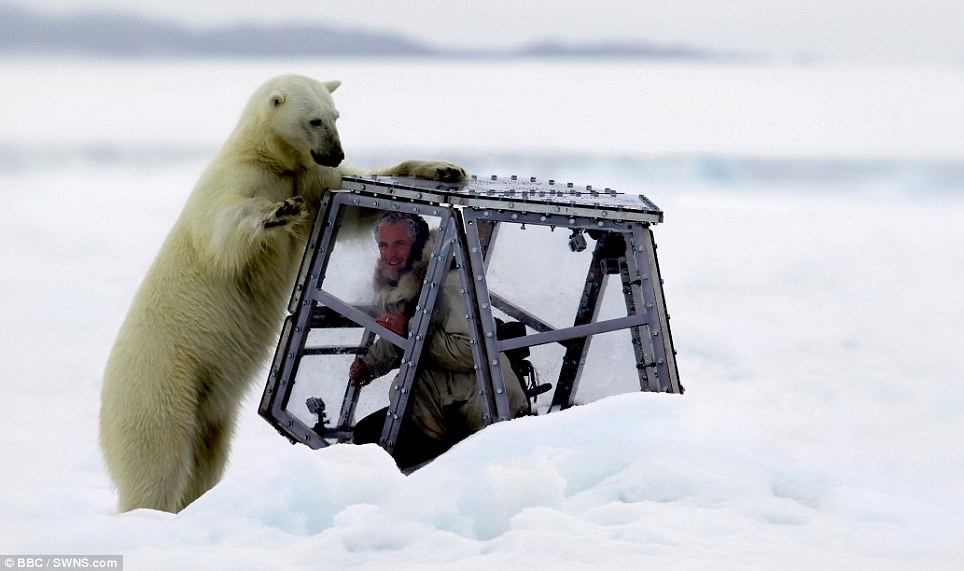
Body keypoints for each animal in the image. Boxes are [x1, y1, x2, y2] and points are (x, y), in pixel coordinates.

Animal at [100, 72, 468, 512]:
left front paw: (441, 169)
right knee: (159, 458)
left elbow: (356, 207)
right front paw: (279, 212)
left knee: (207, 454)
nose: (335, 153)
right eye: (314, 120)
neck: (270, 156)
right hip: (163, 381)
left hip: (210, 408)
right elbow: (225, 230)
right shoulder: (238, 181)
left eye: (336, 115)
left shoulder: (310, 177)